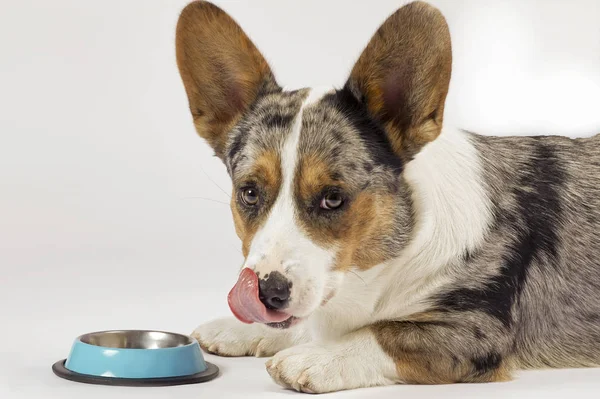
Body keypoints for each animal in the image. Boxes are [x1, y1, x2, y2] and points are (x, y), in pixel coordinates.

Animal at [173, 0, 600, 394]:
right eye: (249, 193)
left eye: (333, 198)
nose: (267, 293)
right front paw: (237, 329)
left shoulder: (476, 331)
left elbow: (382, 333)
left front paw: (315, 359)